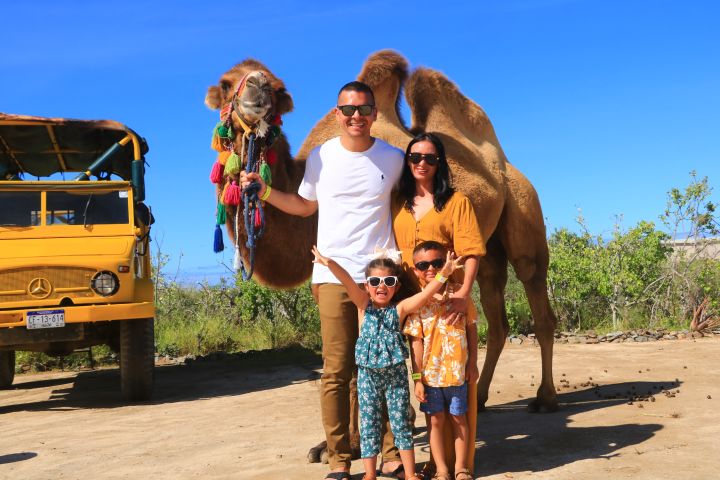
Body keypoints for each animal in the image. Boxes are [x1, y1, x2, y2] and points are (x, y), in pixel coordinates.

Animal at [205, 50, 560, 464]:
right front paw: (334, 445)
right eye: (227, 82)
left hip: (524, 210)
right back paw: (482, 397)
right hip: (485, 247)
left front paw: (363, 441)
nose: (257, 90)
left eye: (278, 90)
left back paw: (545, 399)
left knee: (536, 291)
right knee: (496, 314)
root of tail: (504, 165)